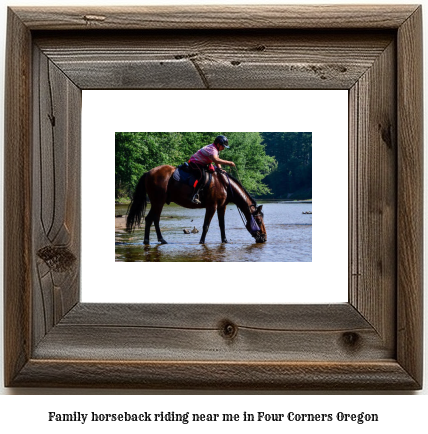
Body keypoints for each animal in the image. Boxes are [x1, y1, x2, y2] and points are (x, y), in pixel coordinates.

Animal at [126, 164, 268, 244]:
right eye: (259, 221)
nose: (264, 238)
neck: (225, 185)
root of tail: (148, 173)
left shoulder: (222, 207)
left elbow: (222, 225)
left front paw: (225, 241)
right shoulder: (212, 206)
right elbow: (206, 225)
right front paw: (202, 241)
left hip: (156, 202)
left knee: (149, 219)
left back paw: (148, 241)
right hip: (158, 202)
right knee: (154, 219)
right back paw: (160, 239)